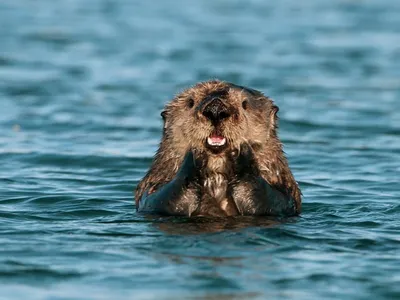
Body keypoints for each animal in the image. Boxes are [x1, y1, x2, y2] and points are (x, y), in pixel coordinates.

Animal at [134, 80, 300, 216]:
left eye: (244, 104)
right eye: (190, 102)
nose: (215, 110)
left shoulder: (285, 190)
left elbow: (274, 201)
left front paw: (241, 152)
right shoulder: (154, 184)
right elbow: (158, 200)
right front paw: (195, 155)